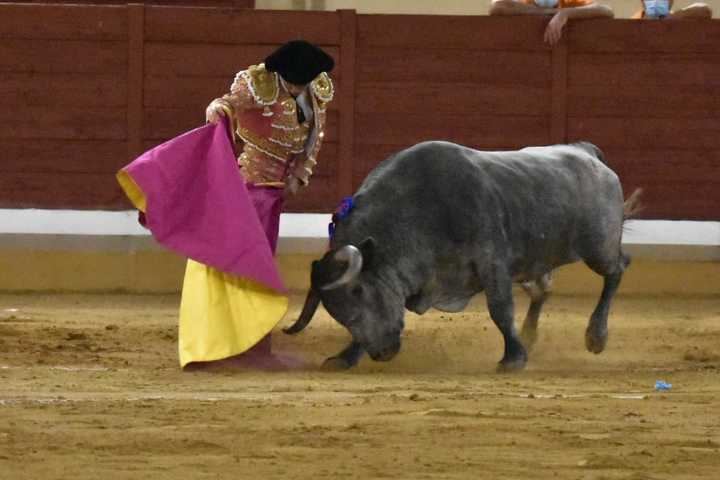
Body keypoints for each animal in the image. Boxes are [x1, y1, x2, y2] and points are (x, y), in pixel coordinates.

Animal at [284, 140, 640, 372]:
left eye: (358, 290)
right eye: (335, 310)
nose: (383, 353)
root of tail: (586, 151)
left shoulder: (491, 261)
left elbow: (500, 309)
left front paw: (513, 358)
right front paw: (344, 357)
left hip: (598, 246)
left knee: (617, 269)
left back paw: (596, 336)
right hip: (534, 263)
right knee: (542, 290)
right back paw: (530, 335)